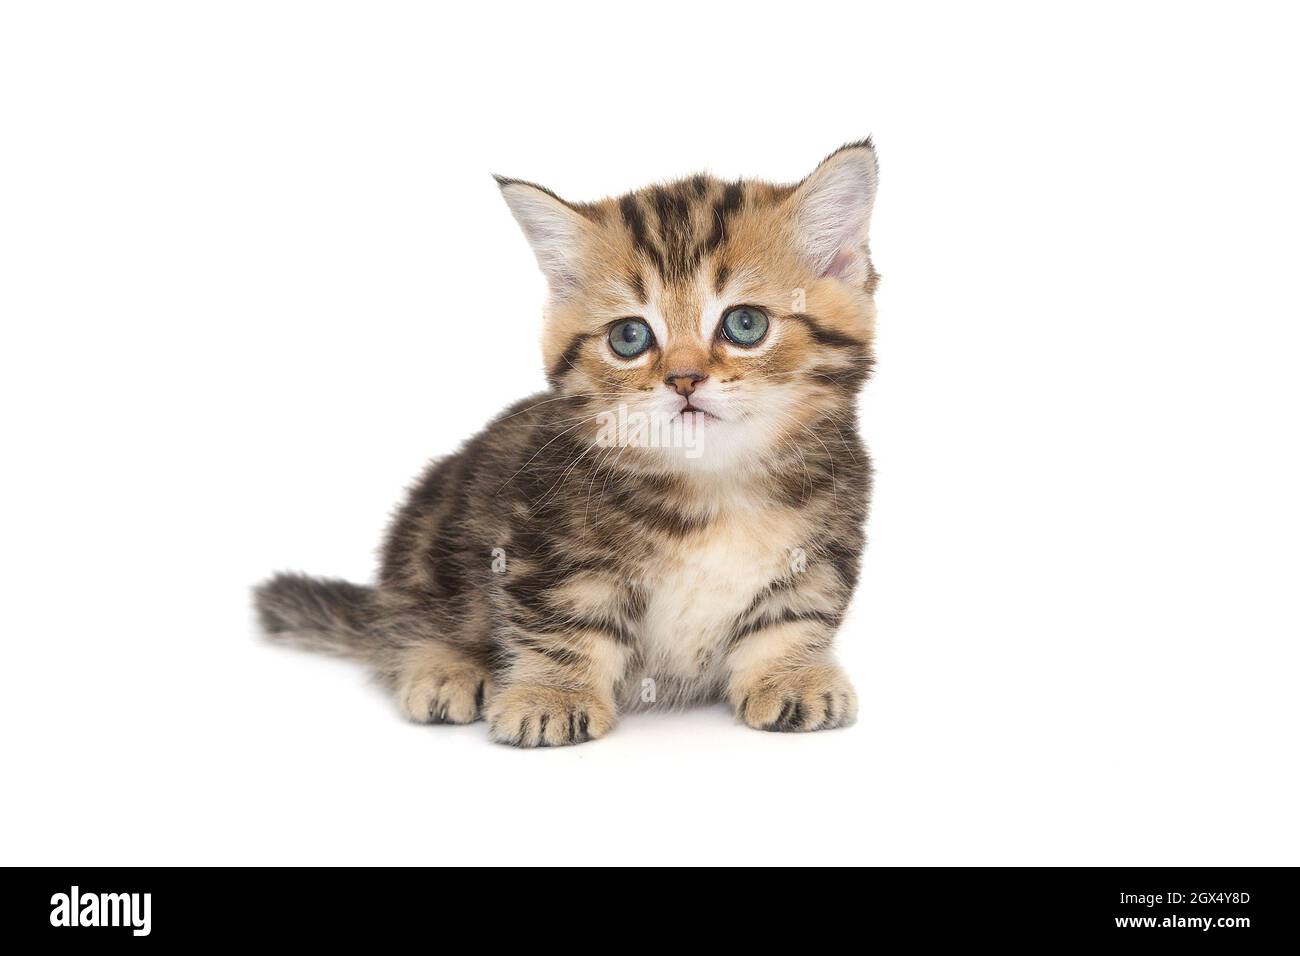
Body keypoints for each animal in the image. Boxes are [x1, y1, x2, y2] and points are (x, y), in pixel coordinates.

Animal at [252, 140, 878, 749]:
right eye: (630, 337)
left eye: (745, 325)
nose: (684, 380)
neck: (711, 486)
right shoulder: (542, 541)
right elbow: (561, 622)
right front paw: (552, 695)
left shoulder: (822, 545)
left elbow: (794, 614)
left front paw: (790, 675)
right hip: (428, 539)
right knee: (401, 627)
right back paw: (444, 667)